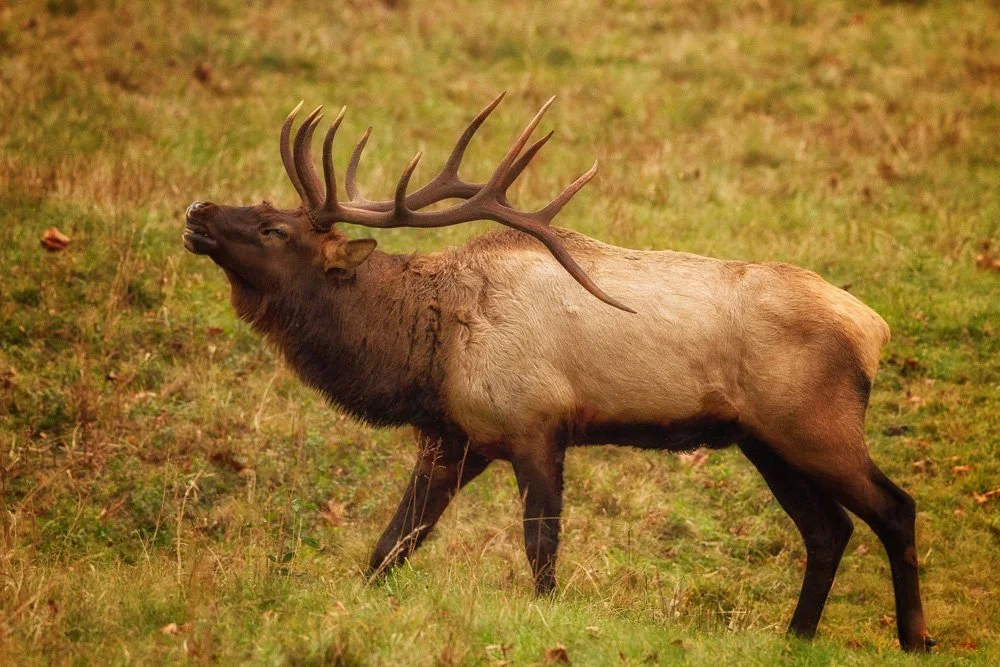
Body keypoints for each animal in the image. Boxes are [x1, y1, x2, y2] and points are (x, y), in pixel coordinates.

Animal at [182, 93, 934, 651]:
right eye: (261, 205)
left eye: (275, 229)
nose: (198, 209)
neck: (425, 351)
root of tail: (874, 328)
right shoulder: (453, 439)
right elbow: (392, 544)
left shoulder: (535, 423)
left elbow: (540, 545)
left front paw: (549, 621)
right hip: (765, 441)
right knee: (827, 529)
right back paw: (797, 636)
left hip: (816, 426)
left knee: (894, 508)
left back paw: (914, 638)